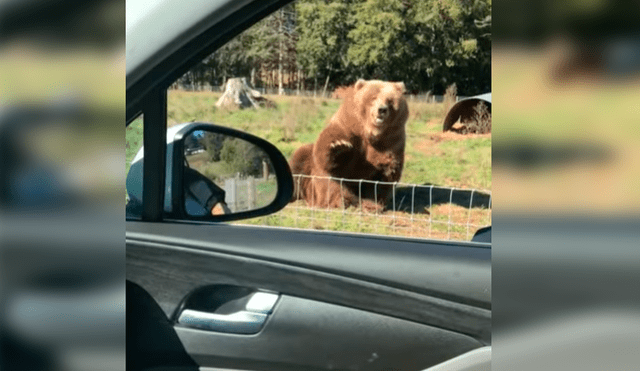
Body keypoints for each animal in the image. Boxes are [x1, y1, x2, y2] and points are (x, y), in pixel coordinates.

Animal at [292, 79, 410, 212]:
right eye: (373, 98)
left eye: (390, 101)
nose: (382, 110)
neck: (370, 132)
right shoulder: (348, 126)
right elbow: (328, 156)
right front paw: (338, 147)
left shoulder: (391, 141)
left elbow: (384, 177)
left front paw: (373, 203)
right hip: (310, 179)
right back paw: (340, 200)